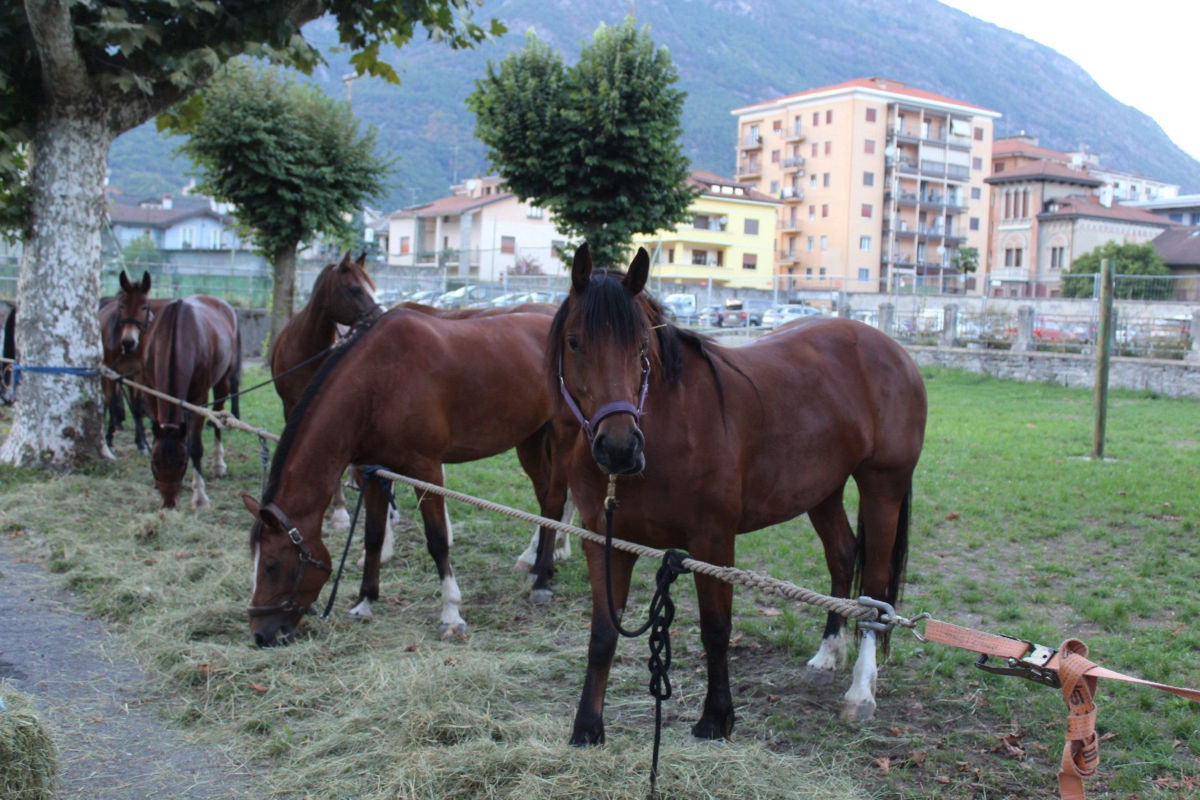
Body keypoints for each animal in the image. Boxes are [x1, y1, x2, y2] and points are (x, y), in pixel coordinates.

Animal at [99, 271, 172, 457]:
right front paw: (108, 440)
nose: (128, 342)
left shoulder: (138, 375)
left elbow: (137, 407)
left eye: (144, 307)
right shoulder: (111, 371)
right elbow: (111, 402)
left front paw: (142, 444)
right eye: (122, 306)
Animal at [142, 296, 242, 509]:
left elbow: (196, 446)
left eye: (182, 462)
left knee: (218, 418)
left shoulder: (199, 400)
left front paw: (200, 496)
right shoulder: (151, 394)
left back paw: (219, 464)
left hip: (223, 380)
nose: (168, 504)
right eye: (155, 462)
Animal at [243, 307, 573, 646]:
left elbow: (437, 539)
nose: (261, 634)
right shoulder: (375, 470)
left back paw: (542, 581)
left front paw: (451, 614)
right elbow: (373, 536)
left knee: (556, 500)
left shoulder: (425, 469)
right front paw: (364, 602)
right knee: (546, 501)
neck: (379, 382)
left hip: (562, 436)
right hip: (531, 437)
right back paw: (537, 566)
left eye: (271, 565)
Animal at [552, 244, 927, 744]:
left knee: (875, 589)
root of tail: (893, 350)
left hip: (883, 486)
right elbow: (603, 634)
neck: (668, 423)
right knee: (843, 557)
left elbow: (715, 629)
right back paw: (827, 655)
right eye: (575, 342)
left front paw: (717, 717)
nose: (619, 448)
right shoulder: (605, 541)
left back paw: (860, 692)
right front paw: (586, 728)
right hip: (822, 490)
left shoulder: (712, 541)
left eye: (641, 348)